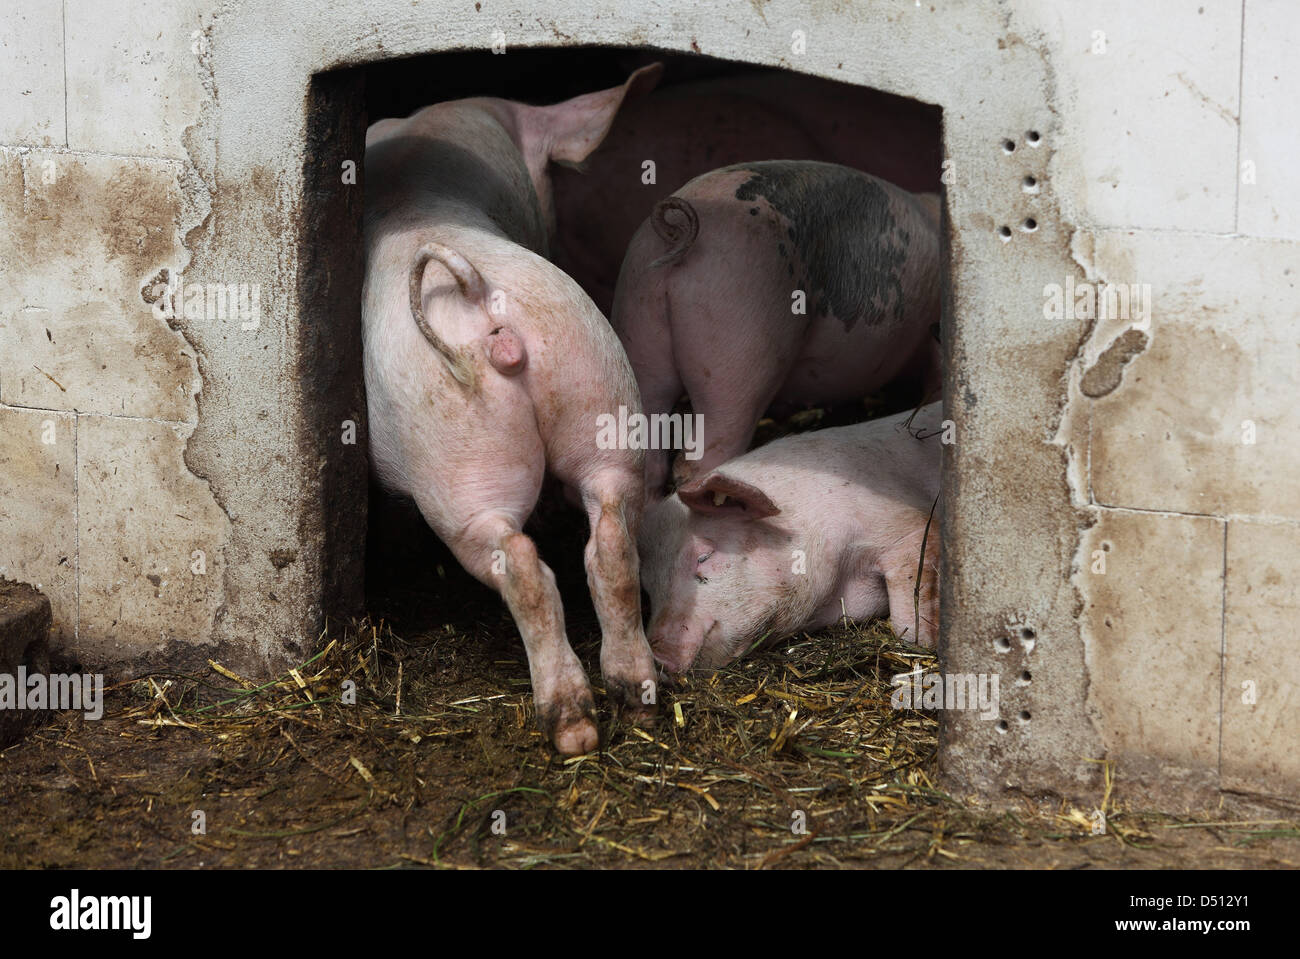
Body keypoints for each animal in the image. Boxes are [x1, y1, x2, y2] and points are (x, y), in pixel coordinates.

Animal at [366, 65, 665, 753]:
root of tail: (477, 295)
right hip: (595, 382)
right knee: (611, 540)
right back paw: (636, 702)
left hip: (459, 464)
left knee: (523, 565)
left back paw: (573, 729)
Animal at [642, 402, 941, 670]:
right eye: (648, 589)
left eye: (704, 556)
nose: (658, 657)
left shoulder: (906, 524)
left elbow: (908, 623)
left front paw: (930, 643)